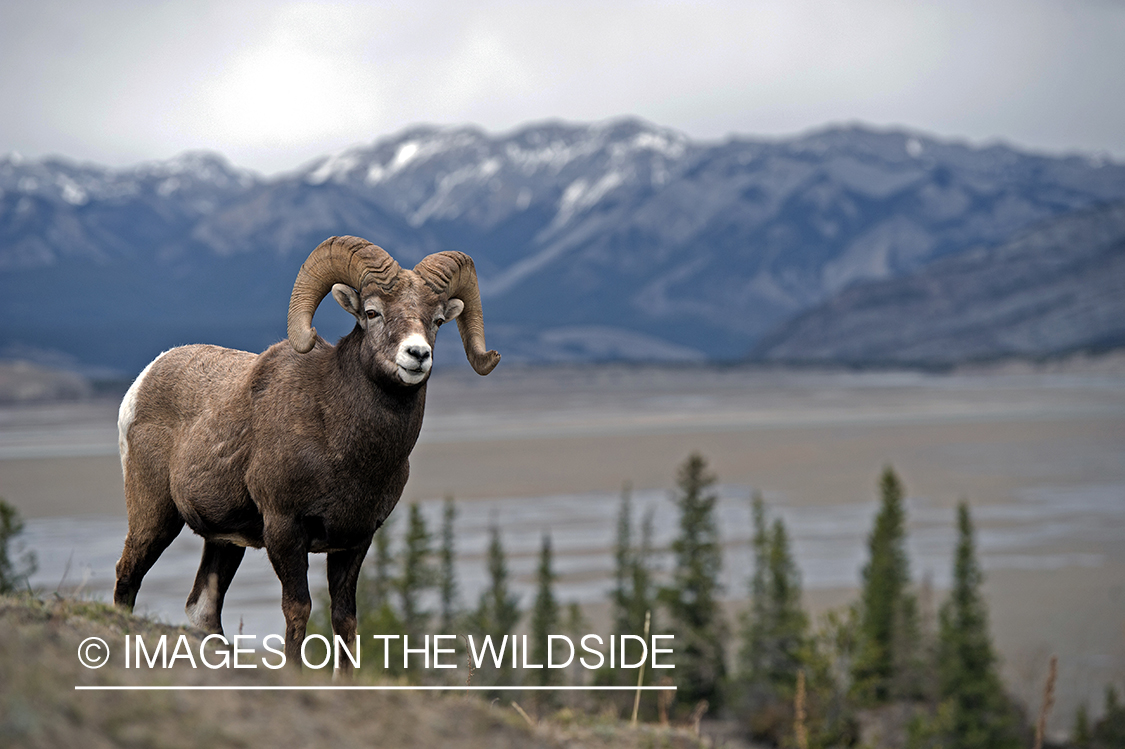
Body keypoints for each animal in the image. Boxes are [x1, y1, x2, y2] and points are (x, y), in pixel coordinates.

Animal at [113, 235, 499, 668]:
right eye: (372, 312)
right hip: (154, 515)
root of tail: (146, 378)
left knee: (203, 608)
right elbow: (298, 610)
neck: (341, 443)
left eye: (437, 321)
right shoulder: (284, 530)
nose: (417, 355)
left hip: (225, 542)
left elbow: (344, 619)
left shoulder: (355, 540)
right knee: (128, 576)